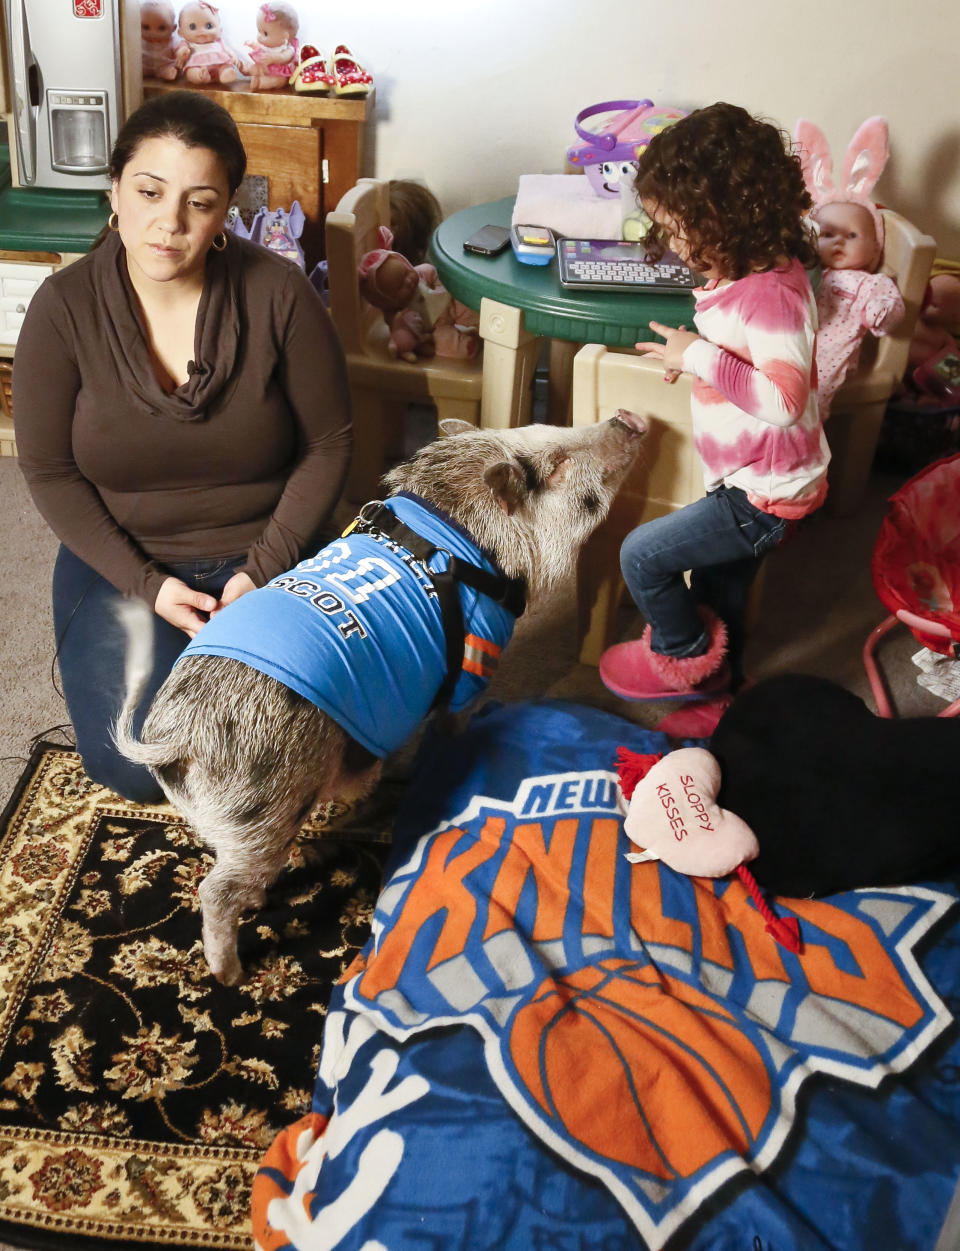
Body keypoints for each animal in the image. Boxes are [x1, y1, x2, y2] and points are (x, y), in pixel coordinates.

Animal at [116, 415, 650, 980]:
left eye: (546, 426)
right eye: (555, 466)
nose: (628, 417)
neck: (459, 532)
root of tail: (177, 738)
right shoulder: (475, 658)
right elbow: (452, 719)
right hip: (262, 810)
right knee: (215, 890)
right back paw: (231, 973)